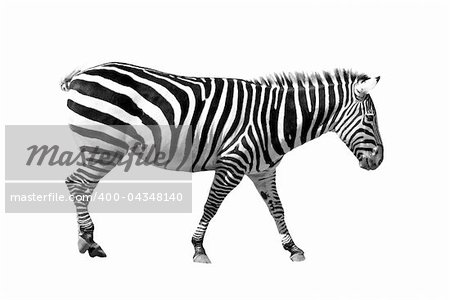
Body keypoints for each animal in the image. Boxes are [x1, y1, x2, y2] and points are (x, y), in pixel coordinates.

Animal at [59, 61, 384, 262]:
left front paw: (292, 247)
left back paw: (86, 239)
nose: (380, 161)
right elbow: (211, 206)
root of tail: (81, 74)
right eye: (370, 118)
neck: (275, 120)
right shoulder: (232, 164)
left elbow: (277, 209)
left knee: (80, 186)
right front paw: (198, 248)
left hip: (100, 147)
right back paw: (90, 240)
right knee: (77, 183)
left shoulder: (263, 171)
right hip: (103, 145)